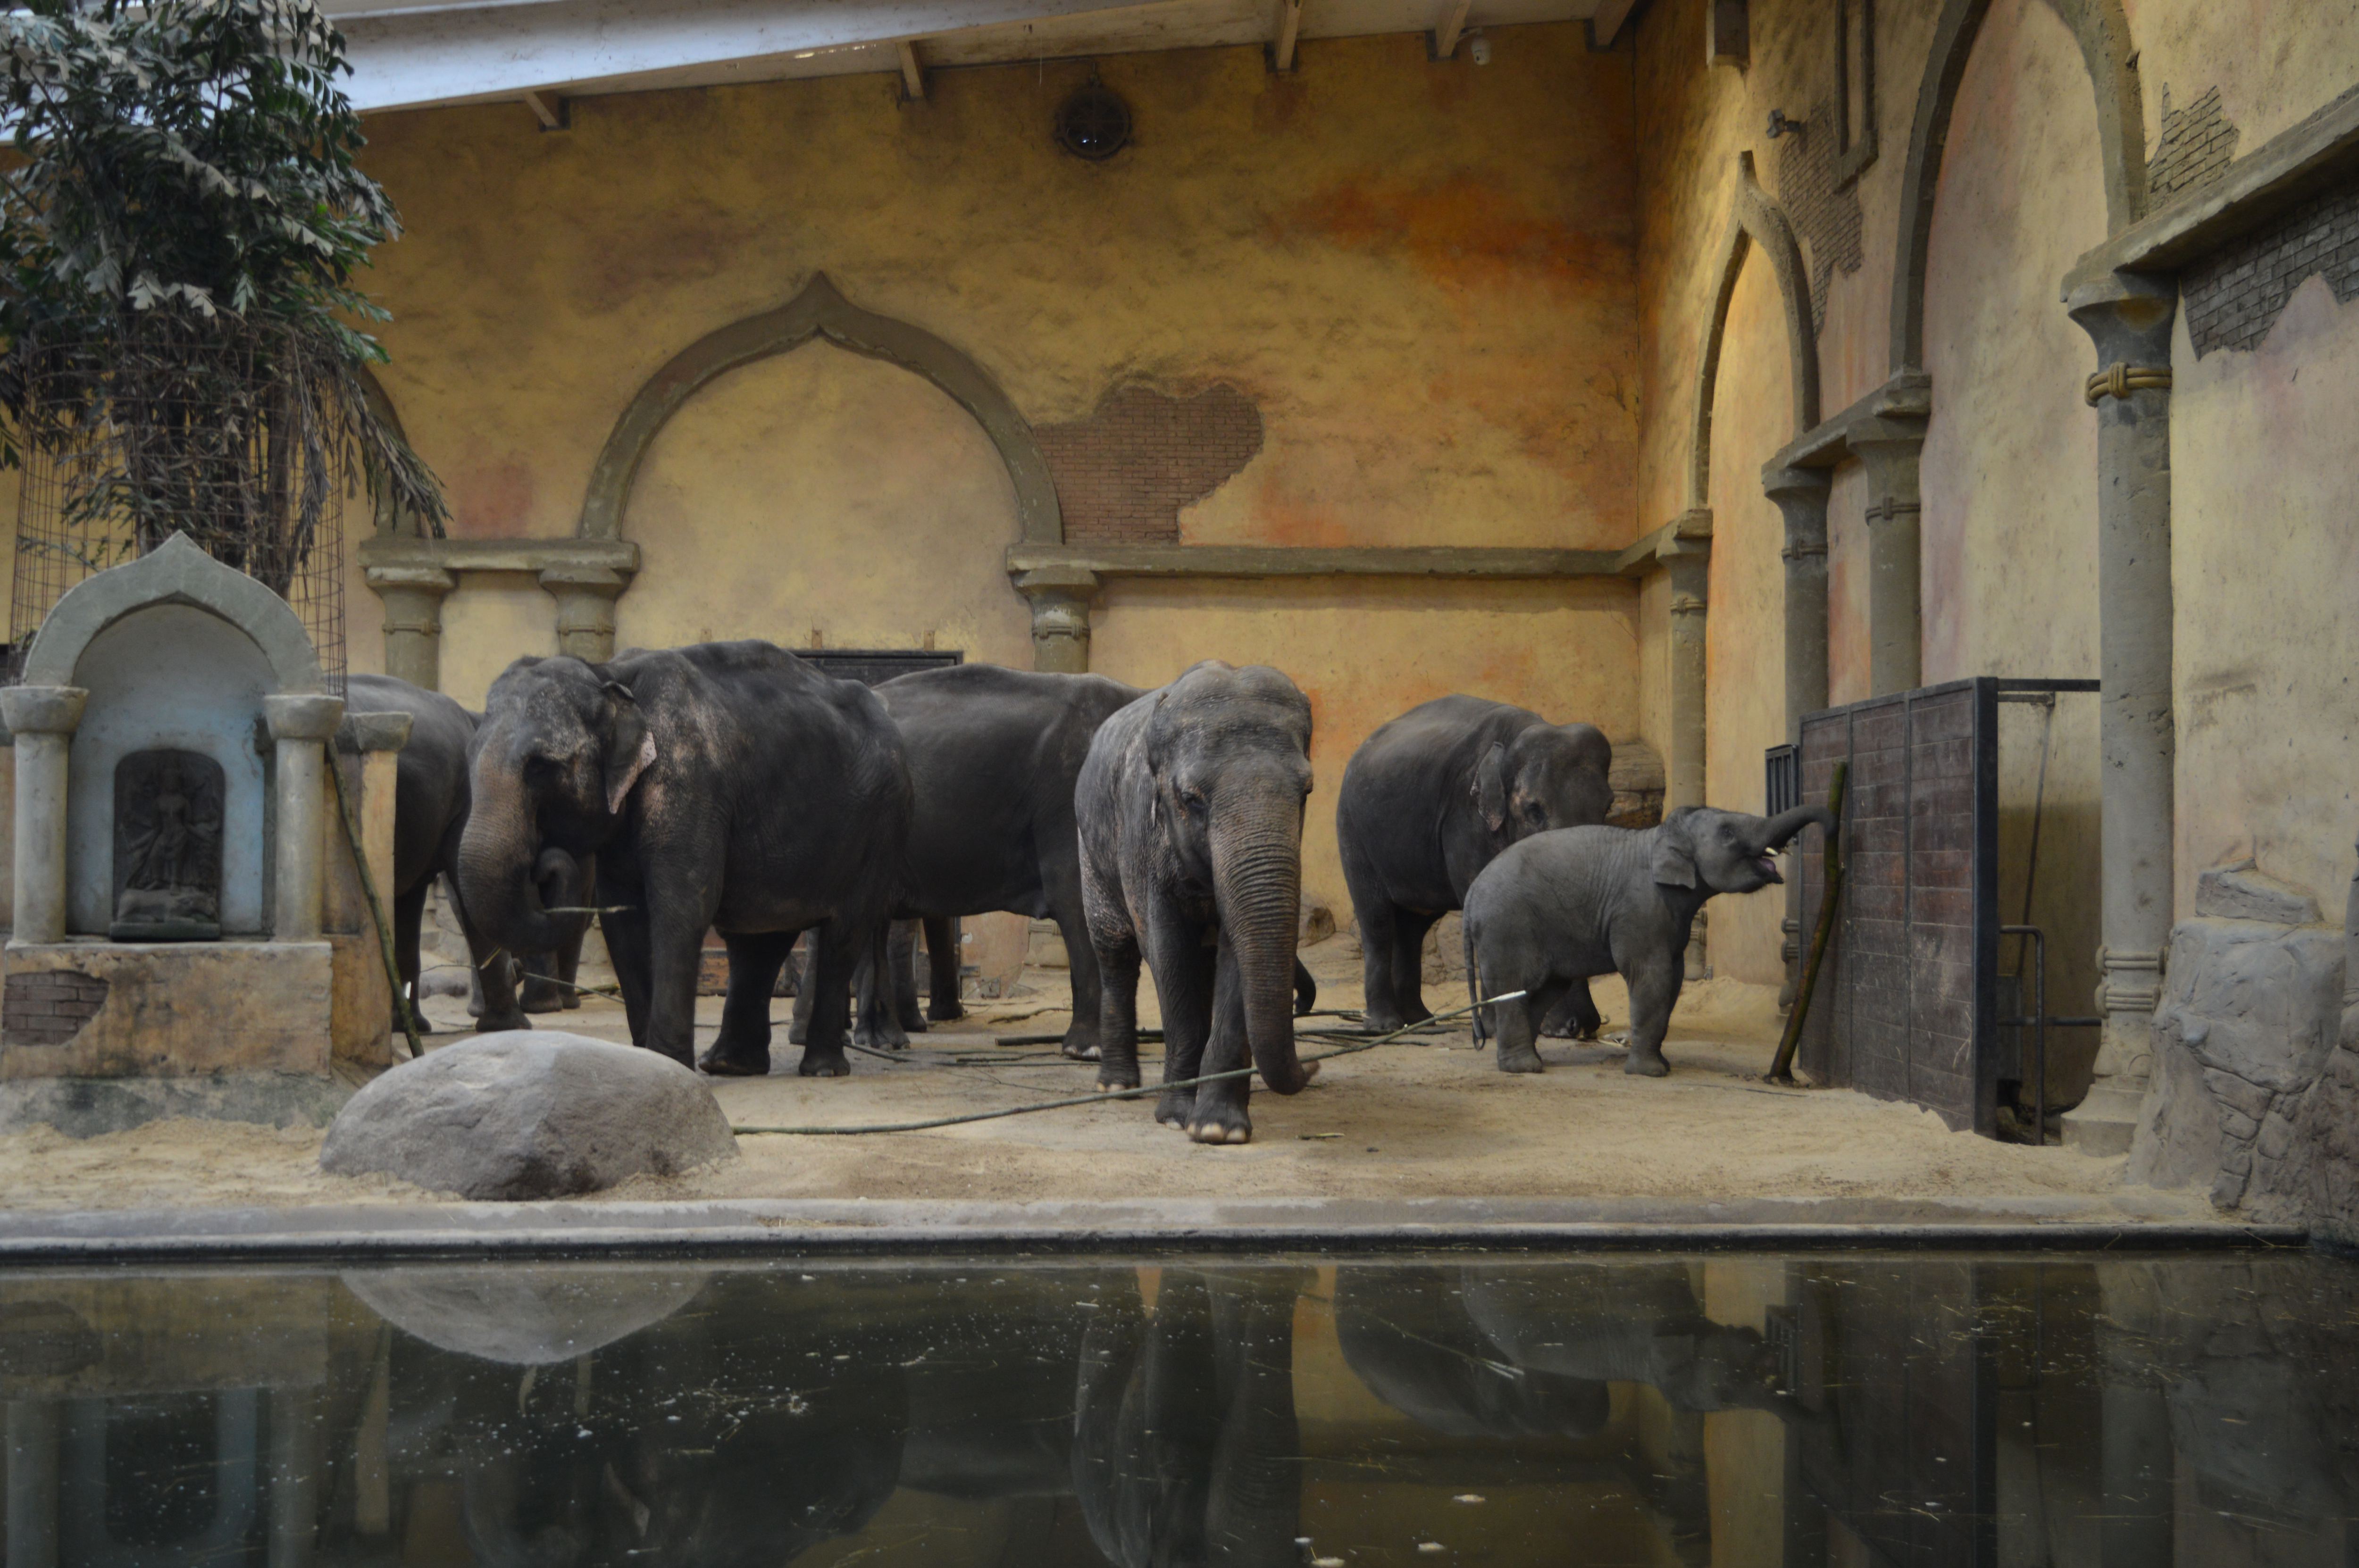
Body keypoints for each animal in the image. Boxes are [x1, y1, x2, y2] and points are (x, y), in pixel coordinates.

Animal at [460, 641, 911, 1070]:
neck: (608, 673)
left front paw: (669, 1062)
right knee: (761, 938)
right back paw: (730, 1065)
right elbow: (622, 918)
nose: (543, 863)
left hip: (879, 824)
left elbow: (682, 906)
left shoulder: (689, 781)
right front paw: (649, 1065)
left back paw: (821, 1069)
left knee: (845, 932)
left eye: (540, 767)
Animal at [1080, 655, 1321, 1146]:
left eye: (1307, 792)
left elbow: (1235, 957)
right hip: (1089, 855)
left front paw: (1217, 1129)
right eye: (1191, 799)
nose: (1314, 1066)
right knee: (1115, 954)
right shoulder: (1141, 839)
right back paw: (1116, 1087)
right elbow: (1169, 953)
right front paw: (1176, 1117)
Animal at [1463, 806, 1831, 1075]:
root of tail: (1470, 895)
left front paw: (1662, 1065)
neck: (1661, 836)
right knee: (1514, 988)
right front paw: (1651, 1073)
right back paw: (1524, 1068)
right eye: (1727, 833)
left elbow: (1675, 979)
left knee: (1544, 990)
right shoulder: (1640, 910)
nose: (1829, 830)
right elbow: (1652, 976)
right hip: (1506, 927)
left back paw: (1533, 1062)